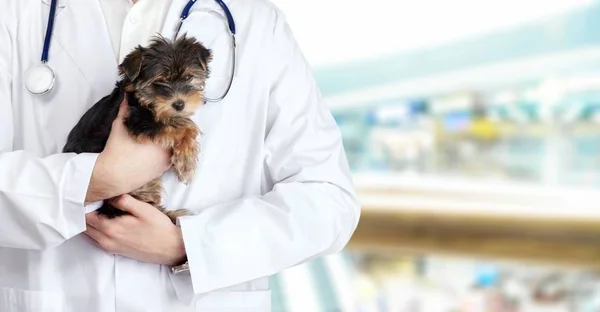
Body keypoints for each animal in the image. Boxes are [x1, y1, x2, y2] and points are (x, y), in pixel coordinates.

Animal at [63, 35, 212, 223]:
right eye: (158, 82)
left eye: (188, 77)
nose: (179, 104)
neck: (144, 99)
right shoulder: (138, 122)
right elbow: (185, 126)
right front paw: (186, 161)